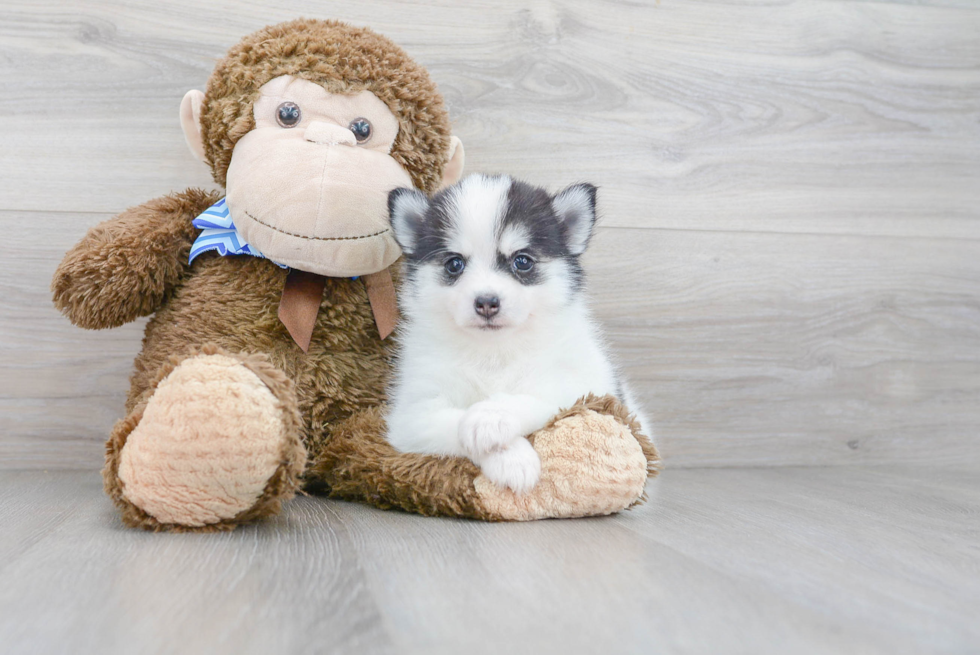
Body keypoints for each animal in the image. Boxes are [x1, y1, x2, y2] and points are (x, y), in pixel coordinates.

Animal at [386, 173, 648, 492]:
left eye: (522, 261)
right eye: (454, 264)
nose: (487, 302)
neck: (493, 350)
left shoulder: (583, 384)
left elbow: (533, 397)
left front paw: (489, 417)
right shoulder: (413, 414)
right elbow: (453, 423)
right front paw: (512, 459)